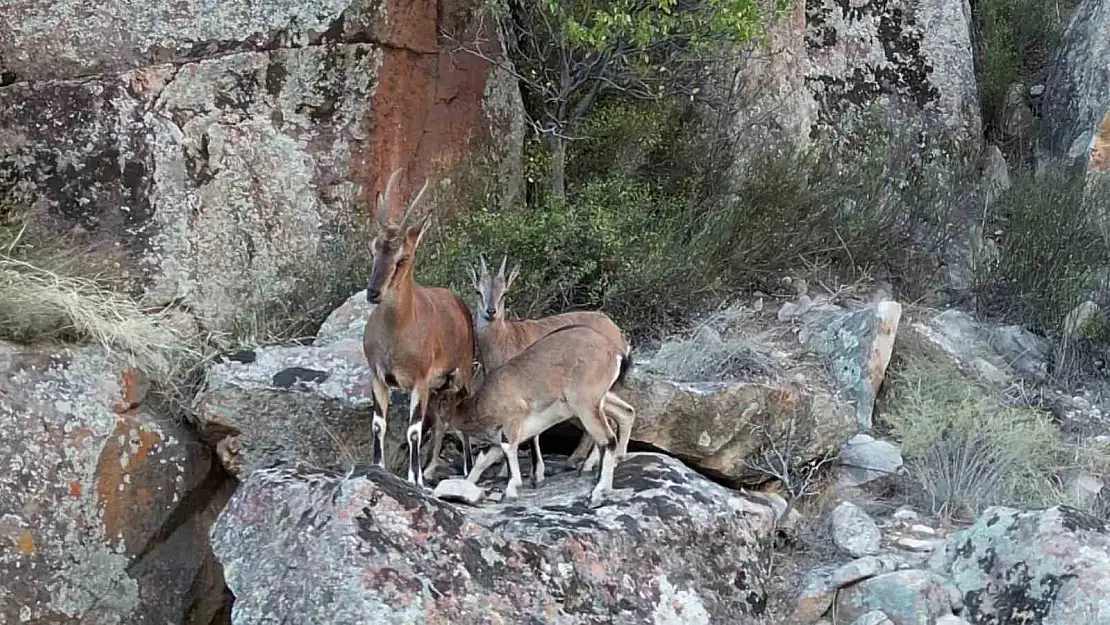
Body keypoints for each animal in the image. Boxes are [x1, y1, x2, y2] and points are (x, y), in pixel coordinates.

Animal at [359, 168, 472, 486]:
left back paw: (467, 469)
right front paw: (379, 467)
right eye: (373, 247)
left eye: (403, 257)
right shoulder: (378, 376)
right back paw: (434, 468)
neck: (397, 334)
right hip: (439, 386)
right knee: (443, 419)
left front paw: (414, 478)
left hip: (463, 373)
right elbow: (378, 424)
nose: (373, 292)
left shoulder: (420, 380)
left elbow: (413, 429)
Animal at [441, 326, 634, 506]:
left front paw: (512, 490)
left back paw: (596, 492)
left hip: (585, 404)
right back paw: (612, 464)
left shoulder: (512, 423)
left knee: (608, 440)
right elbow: (484, 458)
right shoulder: (501, 436)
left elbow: (508, 449)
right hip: (600, 400)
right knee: (626, 413)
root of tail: (615, 352)